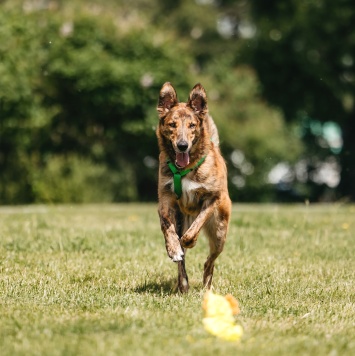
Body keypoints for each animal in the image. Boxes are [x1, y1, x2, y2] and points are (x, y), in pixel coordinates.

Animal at [157, 82, 232, 292]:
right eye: (172, 124)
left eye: (192, 125)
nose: (182, 145)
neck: (186, 169)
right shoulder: (165, 200)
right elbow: (167, 227)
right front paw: (174, 248)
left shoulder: (212, 198)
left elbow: (197, 225)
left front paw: (188, 241)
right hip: (182, 220)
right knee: (182, 264)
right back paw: (183, 284)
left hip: (220, 231)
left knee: (210, 261)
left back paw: (206, 284)